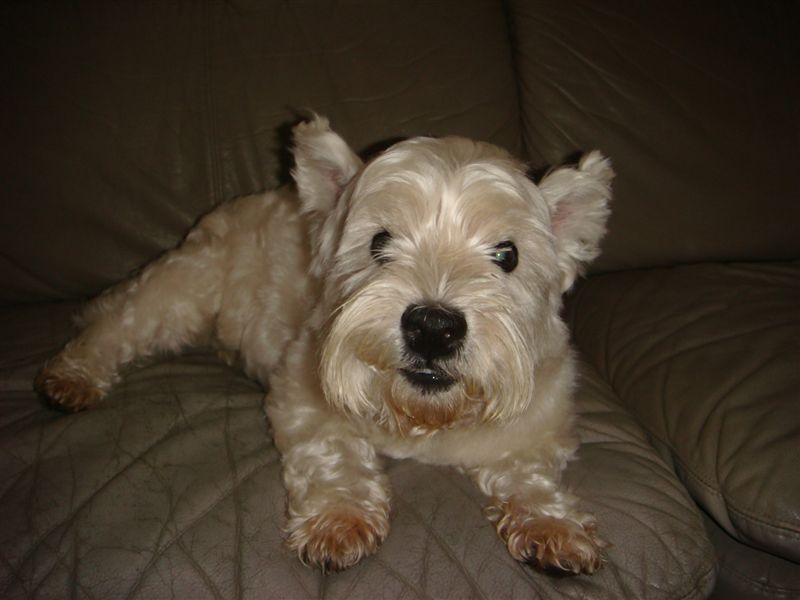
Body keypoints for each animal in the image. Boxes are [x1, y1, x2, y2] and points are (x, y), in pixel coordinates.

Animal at [36, 116, 613, 575]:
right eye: (379, 242)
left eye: (507, 254)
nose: (433, 327)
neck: (423, 417)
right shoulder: (303, 394)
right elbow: (335, 454)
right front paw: (340, 520)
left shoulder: (536, 429)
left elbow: (530, 475)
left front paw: (554, 526)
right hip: (182, 290)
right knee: (115, 320)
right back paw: (72, 377)